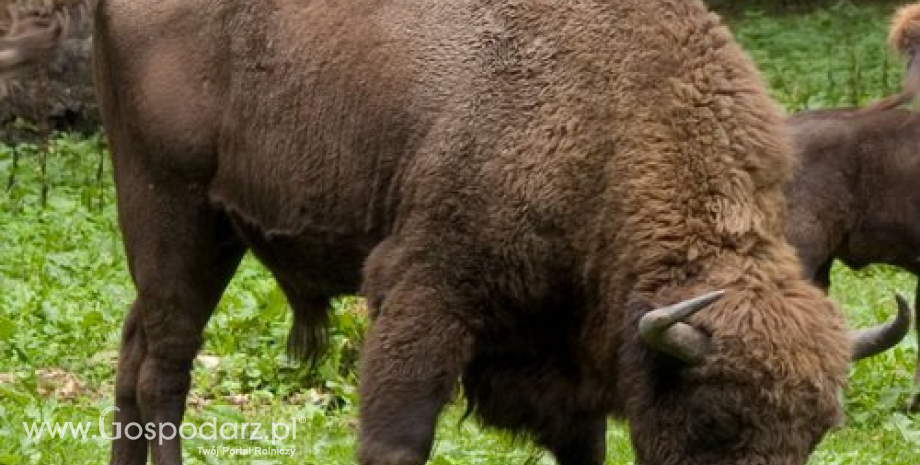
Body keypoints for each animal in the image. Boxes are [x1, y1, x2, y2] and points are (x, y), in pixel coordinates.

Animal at [90, 0, 908, 464]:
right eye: (715, 419)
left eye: (816, 431)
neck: (611, 119)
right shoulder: (426, 292)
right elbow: (398, 438)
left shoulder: (571, 355)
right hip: (172, 212)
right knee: (165, 370)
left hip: (207, 236)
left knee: (134, 356)